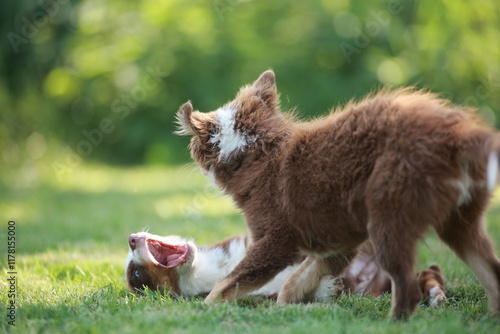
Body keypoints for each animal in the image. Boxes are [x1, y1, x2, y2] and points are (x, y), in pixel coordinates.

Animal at [176, 70, 500, 318]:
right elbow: (295, 282)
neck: (256, 147)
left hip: (389, 222)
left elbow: (229, 282)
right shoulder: (337, 246)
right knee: (492, 273)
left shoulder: (276, 241)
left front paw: (206, 308)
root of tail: (459, 134)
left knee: (408, 288)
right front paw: (286, 308)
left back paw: (393, 323)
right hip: (460, 225)